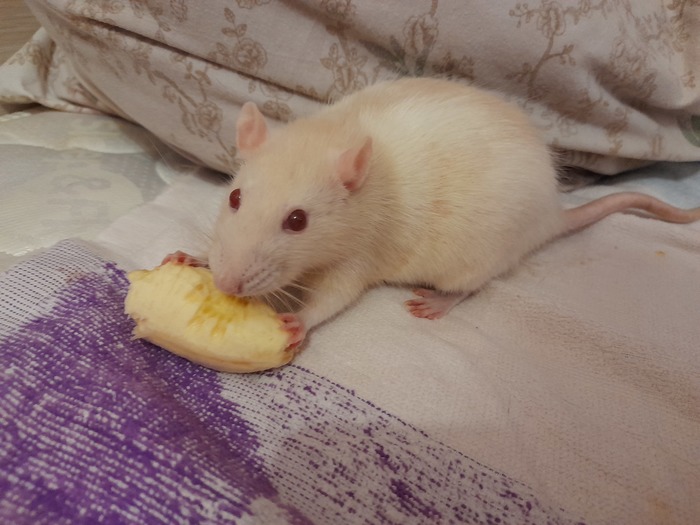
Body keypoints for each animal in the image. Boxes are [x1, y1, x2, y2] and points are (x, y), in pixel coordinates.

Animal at [201, 77, 700, 348]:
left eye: (297, 221)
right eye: (235, 198)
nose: (226, 283)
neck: (334, 135)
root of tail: (549, 215)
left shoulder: (363, 246)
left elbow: (340, 293)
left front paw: (300, 320)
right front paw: (196, 258)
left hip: (481, 255)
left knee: (472, 285)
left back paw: (441, 300)